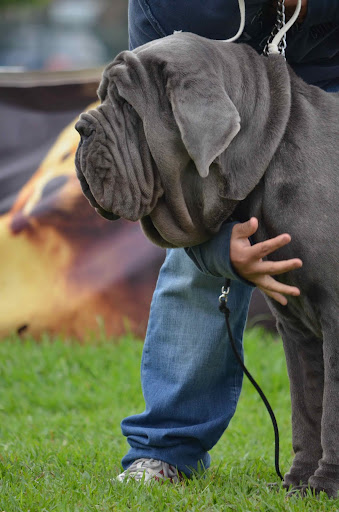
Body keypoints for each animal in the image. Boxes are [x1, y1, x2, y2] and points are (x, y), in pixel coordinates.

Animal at [75, 32, 339, 496]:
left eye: (126, 104)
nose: (82, 127)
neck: (269, 152)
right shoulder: (297, 326)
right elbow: (308, 408)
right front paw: (299, 483)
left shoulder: (335, 317)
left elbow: (331, 414)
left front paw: (324, 486)